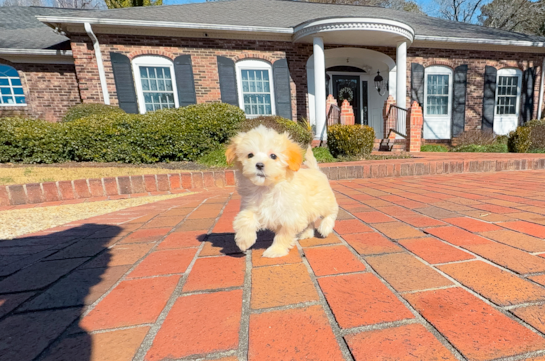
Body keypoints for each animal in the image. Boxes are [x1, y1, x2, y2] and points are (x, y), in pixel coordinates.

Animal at [224, 125, 336, 258]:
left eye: (273, 156)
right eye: (250, 155)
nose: (259, 165)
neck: (267, 187)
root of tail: (315, 170)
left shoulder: (289, 217)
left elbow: (283, 236)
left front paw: (276, 250)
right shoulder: (252, 206)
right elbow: (244, 219)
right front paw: (244, 240)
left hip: (325, 201)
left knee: (331, 213)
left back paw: (325, 228)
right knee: (309, 222)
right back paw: (306, 233)